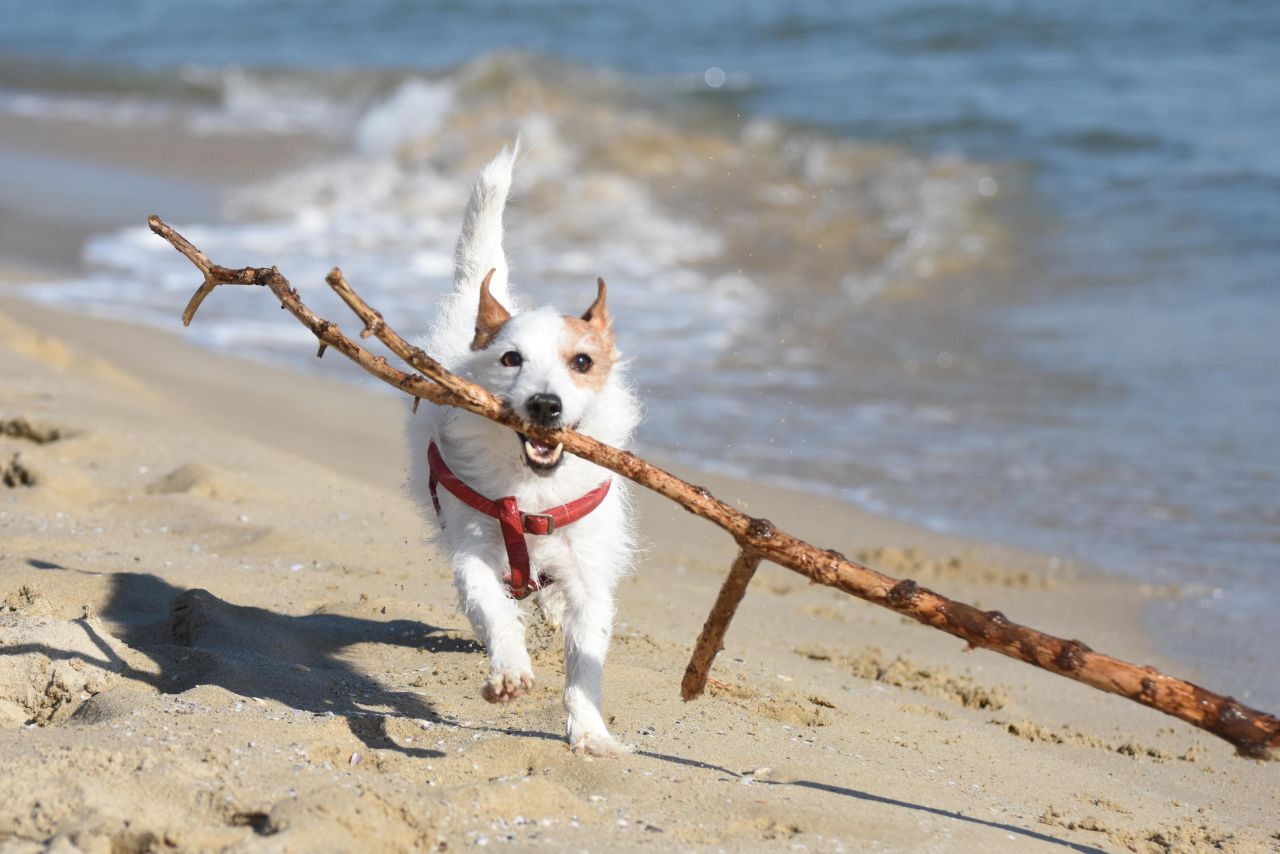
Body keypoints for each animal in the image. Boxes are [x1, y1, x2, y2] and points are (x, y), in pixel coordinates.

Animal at [407, 150, 640, 757]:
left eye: (582, 362)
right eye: (511, 359)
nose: (545, 404)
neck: (532, 489)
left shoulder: (588, 571)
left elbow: (587, 654)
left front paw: (590, 730)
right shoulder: (474, 547)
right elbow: (491, 608)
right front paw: (509, 670)